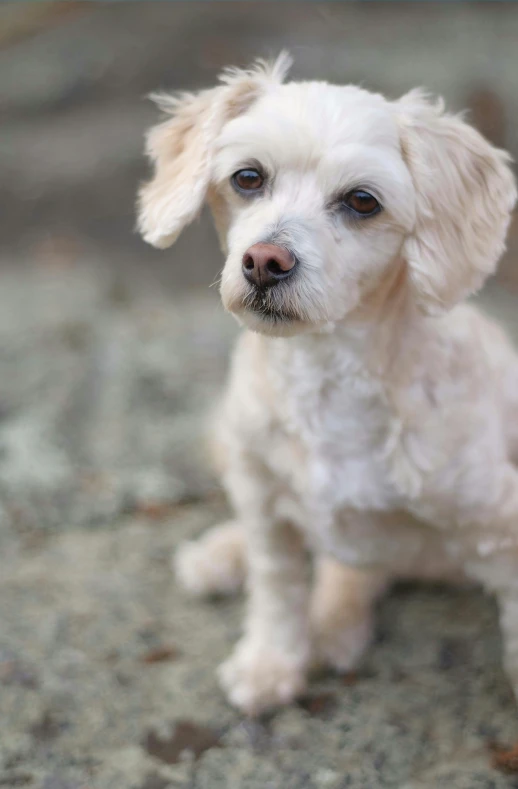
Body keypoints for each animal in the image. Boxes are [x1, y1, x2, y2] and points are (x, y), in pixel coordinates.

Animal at [138, 53, 518, 716]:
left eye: (363, 201)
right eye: (247, 177)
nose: (264, 262)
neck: (326, 377)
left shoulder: (502, 527)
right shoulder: (265, 504)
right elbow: (276, 591)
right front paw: (270, 664)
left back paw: (336, 623)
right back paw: (223, 556)